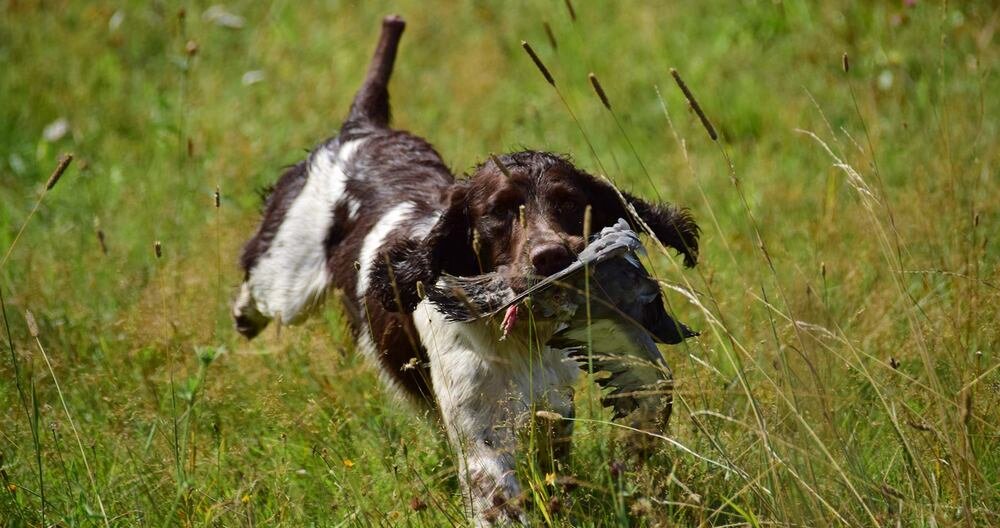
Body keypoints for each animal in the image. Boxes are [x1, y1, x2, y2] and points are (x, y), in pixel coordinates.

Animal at [233, 15, 700, 524]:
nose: (552, 258)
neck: (519, 339)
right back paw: (243, 316)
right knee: (254, 272)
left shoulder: (555, 403)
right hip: (287, 277)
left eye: (568, 203)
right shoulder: (481, 432)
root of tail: (362, 129)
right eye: (498, 212)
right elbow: (497, 494)